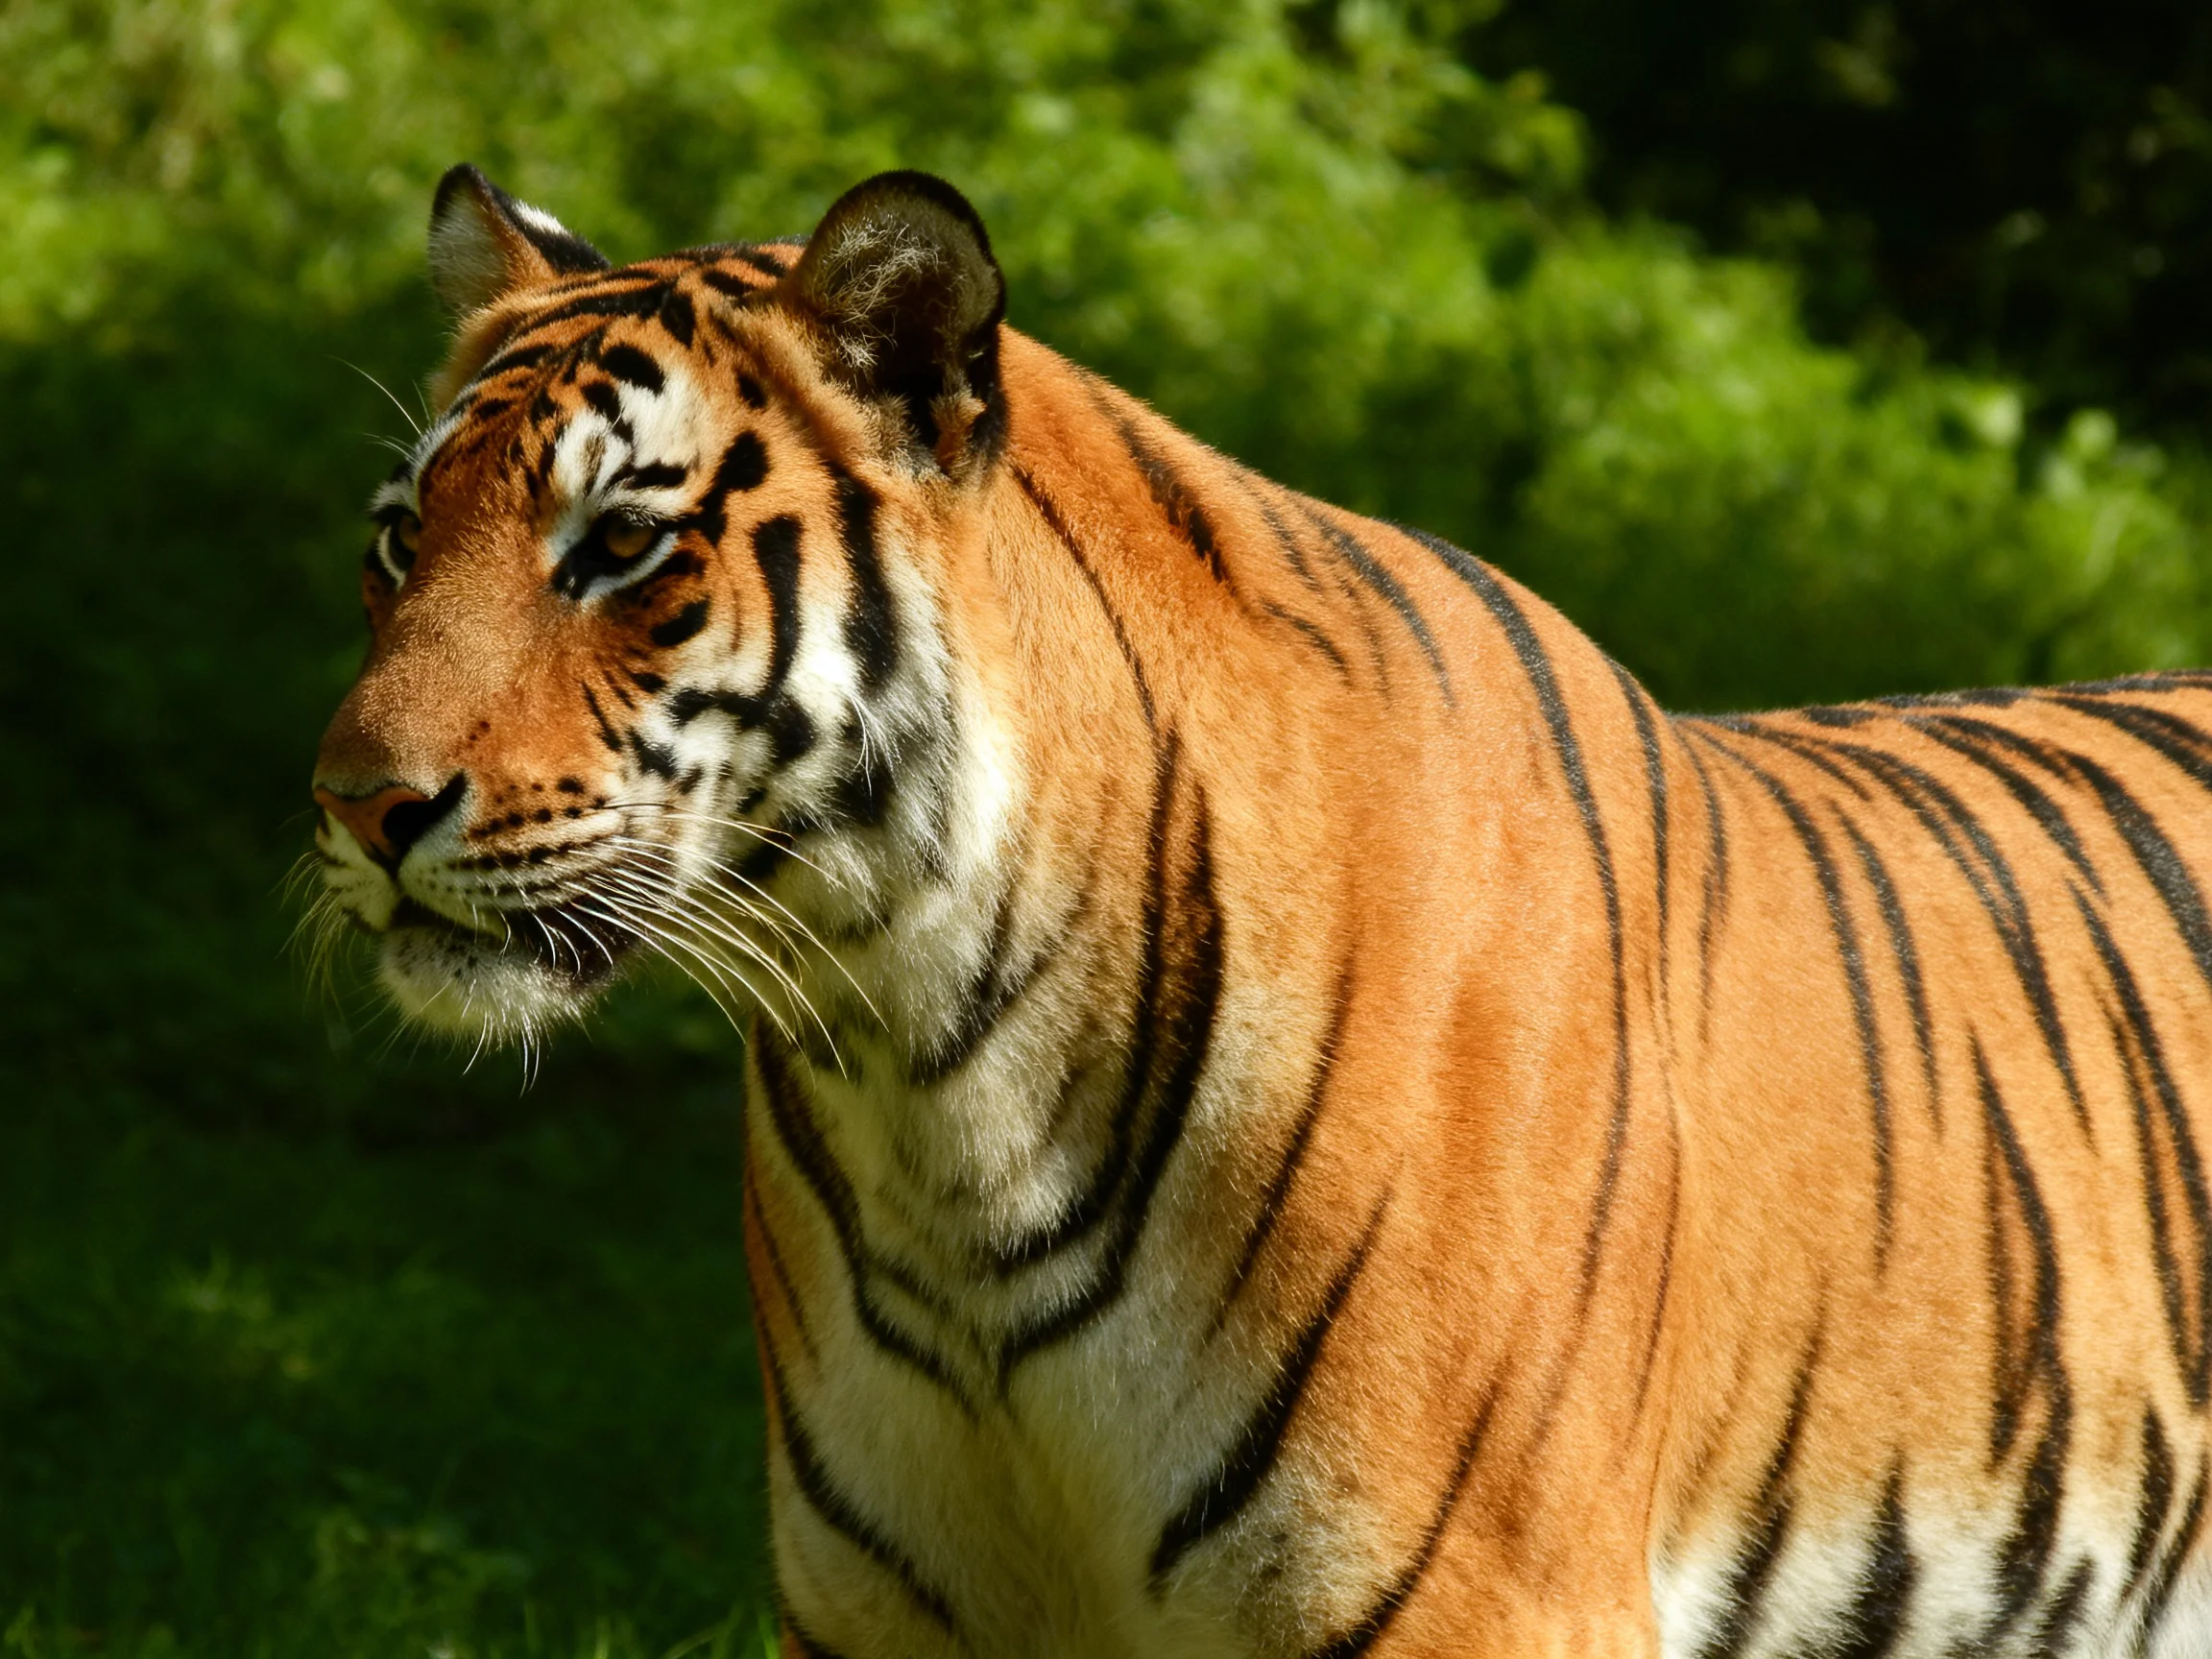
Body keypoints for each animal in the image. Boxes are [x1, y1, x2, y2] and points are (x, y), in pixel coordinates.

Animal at [307, 162, 2212, 1657]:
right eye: (400, 543)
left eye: (620, 548)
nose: (355, 801)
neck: (934, 1080)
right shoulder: (885, 1613)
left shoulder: (1476, 1604)